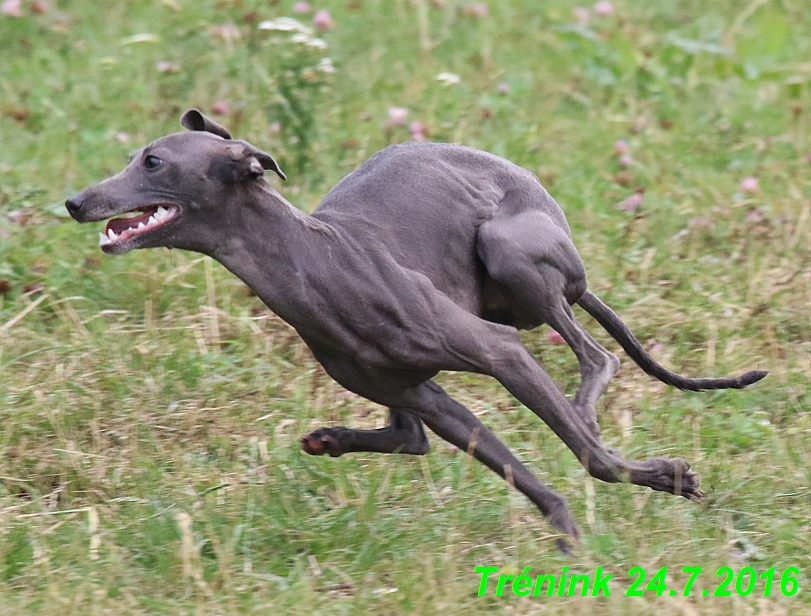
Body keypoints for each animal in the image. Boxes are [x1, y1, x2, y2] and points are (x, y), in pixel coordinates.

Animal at [65, 109, 768, 548]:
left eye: (153, 162)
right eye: (136, 157)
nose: (74, 201)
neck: (318, 258)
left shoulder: (500, 351)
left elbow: (593, 459)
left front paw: (664, 478)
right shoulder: (423, 393)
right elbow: (508, 466)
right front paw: (566, 528)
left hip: (512, 252)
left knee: (598, 357)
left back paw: (586, 405)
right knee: (412, 437)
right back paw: (331, 439)